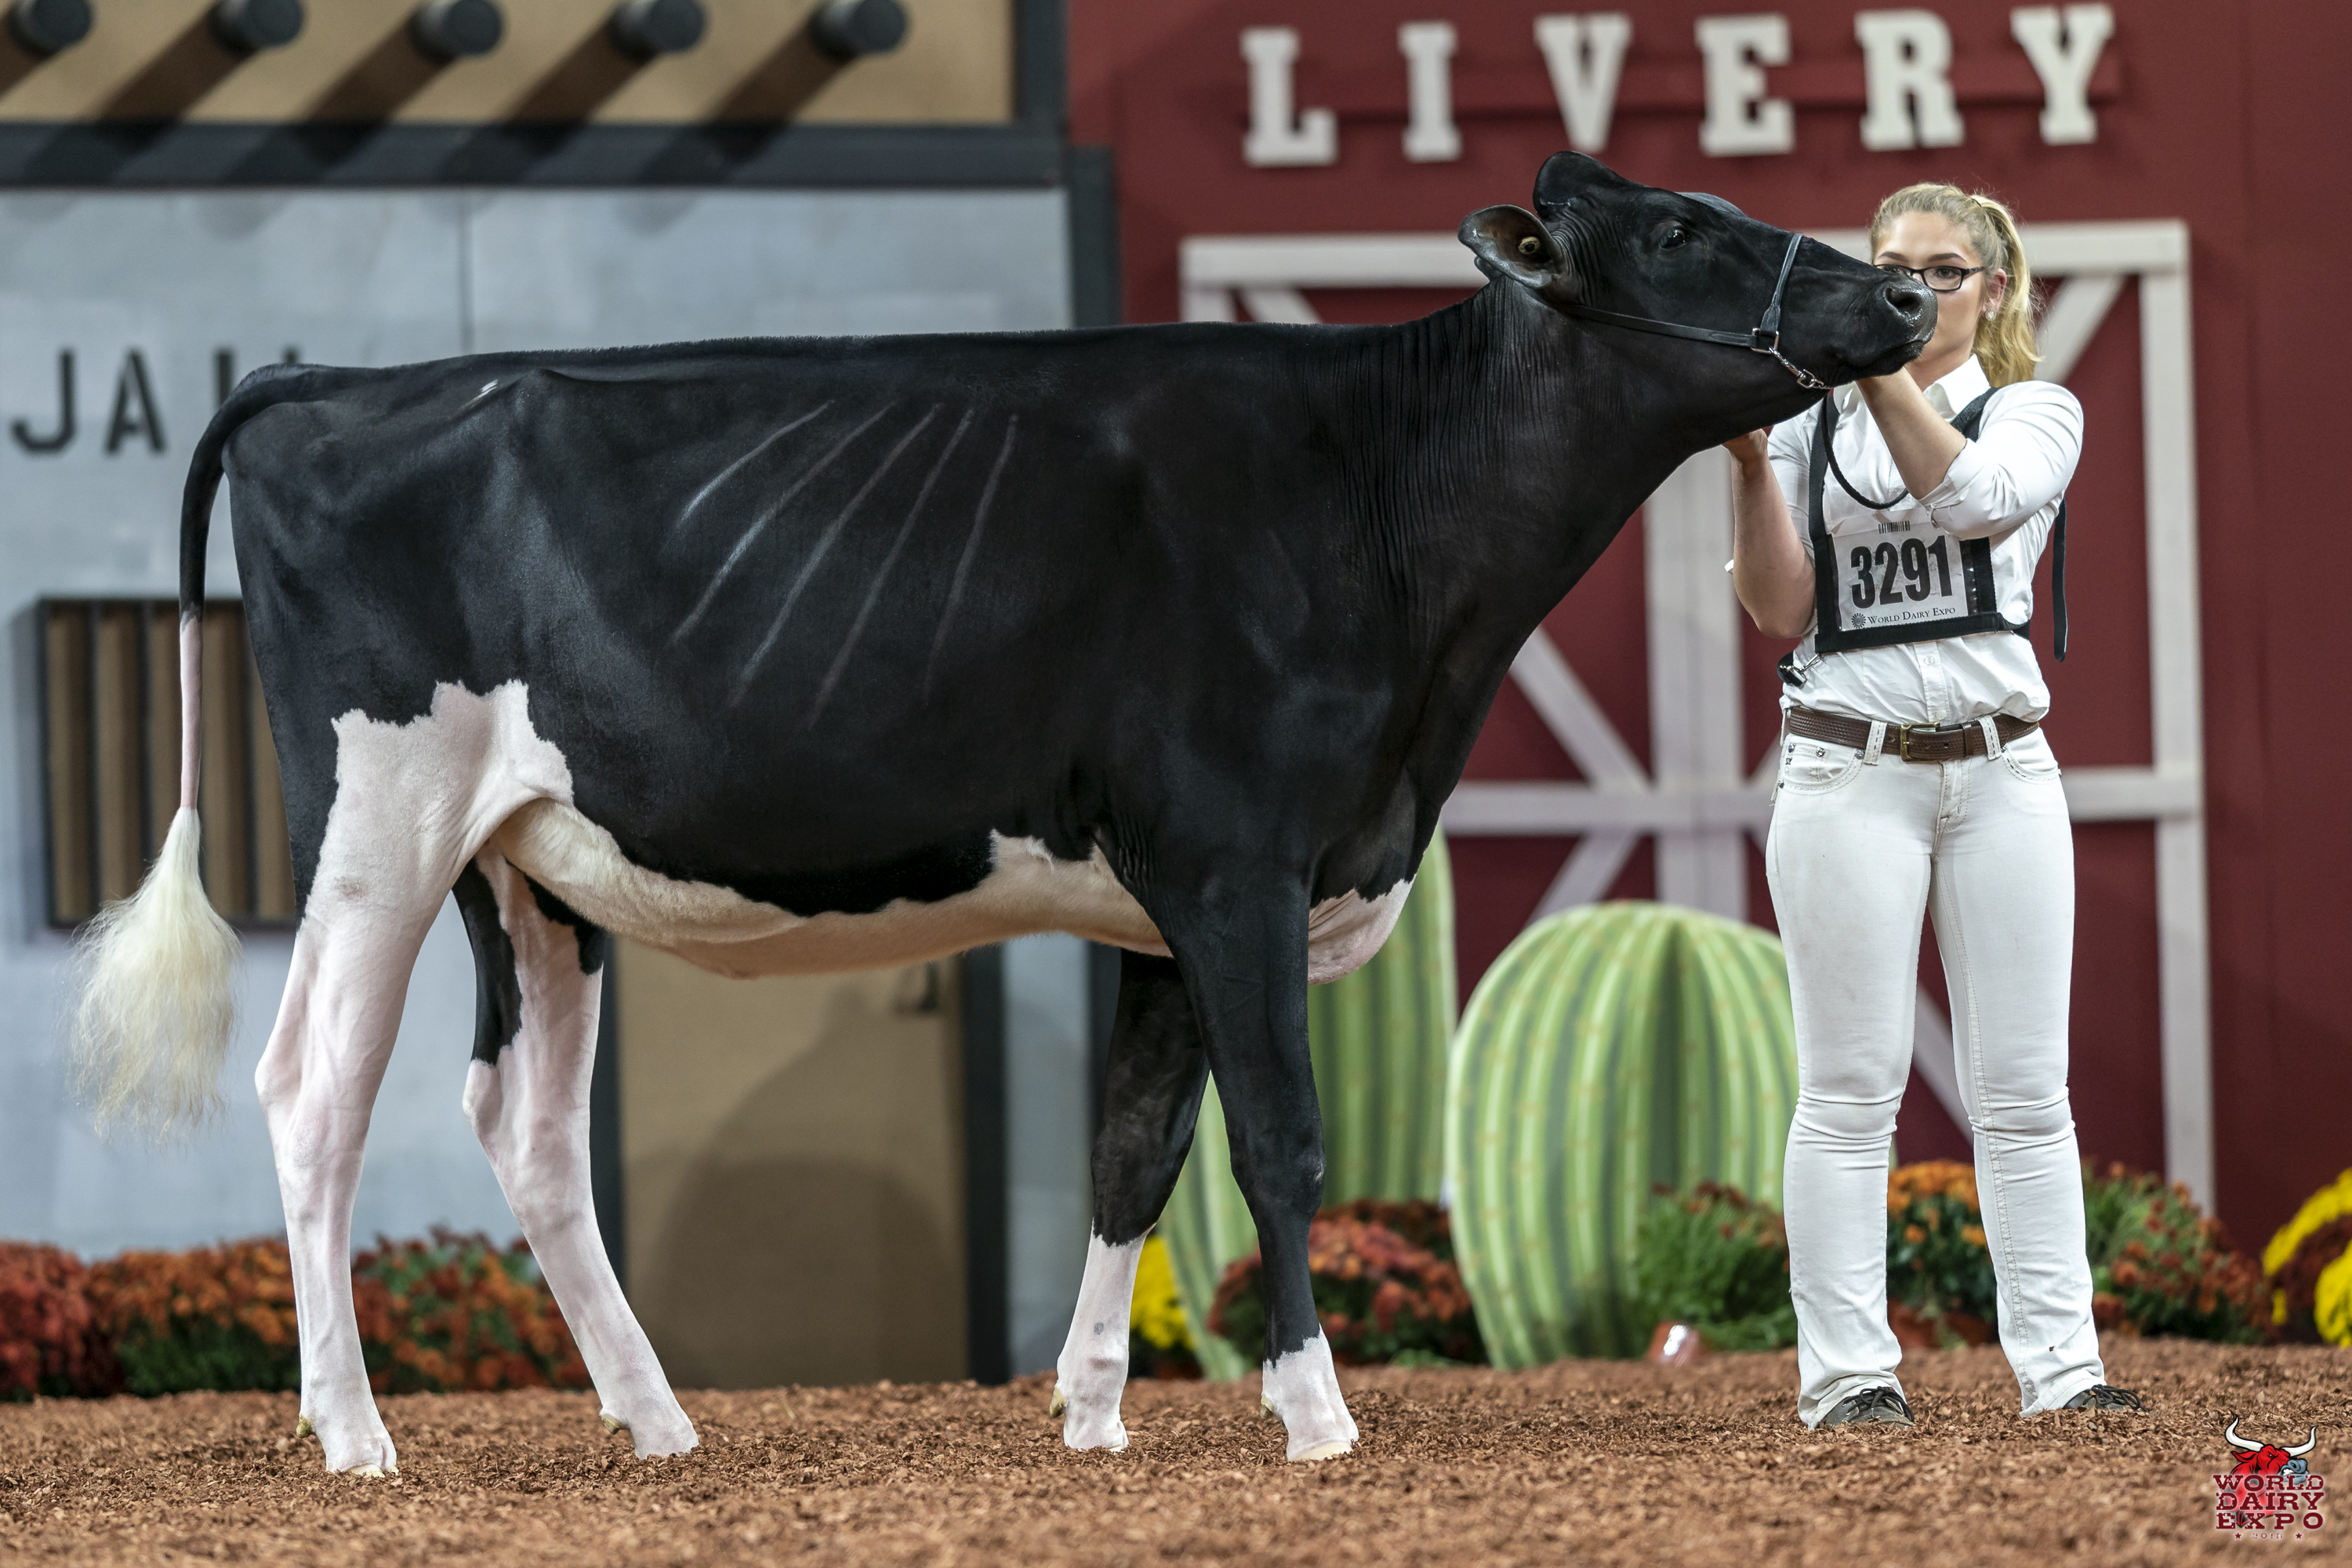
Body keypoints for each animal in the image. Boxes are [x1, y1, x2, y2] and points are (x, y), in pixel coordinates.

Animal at [69, 151, 1928, 1476]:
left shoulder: (1170, 900)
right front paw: (1316, 1413)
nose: (1907, 289)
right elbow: (1279, 1138)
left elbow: (1134, 1147)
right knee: (314, 1090)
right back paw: (354, 1433)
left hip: (527, 870)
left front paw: (1094, 1410)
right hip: (374, 825)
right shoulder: (1239, 860)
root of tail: (333, 381)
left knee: (523, 1125)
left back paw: (656, 1421)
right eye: (1682, 226)